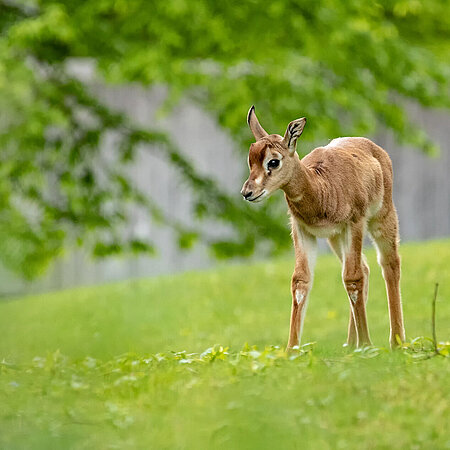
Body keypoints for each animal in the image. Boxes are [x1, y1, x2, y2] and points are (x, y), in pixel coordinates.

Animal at [241, 107, 406, 350]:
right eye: (250, 159)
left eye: (273, 161)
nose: (248, 192)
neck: (321, 189)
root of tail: (375, 148)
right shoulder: (302, 230)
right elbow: (300, 281)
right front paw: (291, 350)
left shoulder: (354, 223)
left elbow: (352, 278)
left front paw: (368, 344)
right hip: (335, 238)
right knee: (365, 267)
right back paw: (351, 345)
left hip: (381, 218)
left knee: (389, 264)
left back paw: (396, 342)